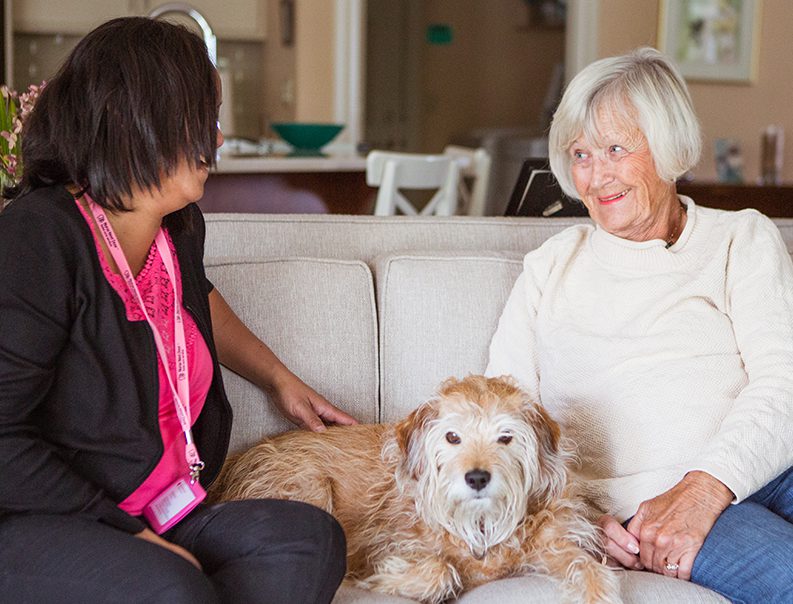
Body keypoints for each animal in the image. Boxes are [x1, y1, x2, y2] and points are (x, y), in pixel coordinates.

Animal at [209, 376, 620, 600]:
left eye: (506, 437)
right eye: (452, 437)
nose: (477, 477)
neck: (480, 525)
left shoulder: (557, 542)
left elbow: (591, 569)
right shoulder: (379, 540)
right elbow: (441, 571)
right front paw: (385, 576)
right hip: (309, 489)